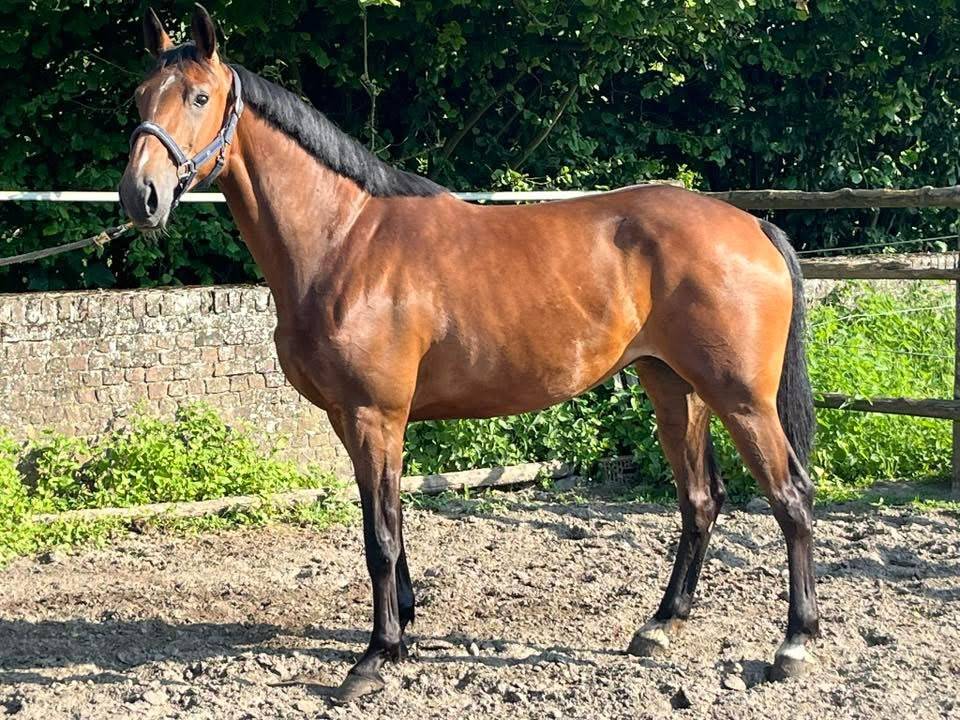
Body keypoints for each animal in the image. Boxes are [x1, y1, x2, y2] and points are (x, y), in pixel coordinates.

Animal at [118, 5, 820, 701]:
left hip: (741, 398)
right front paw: (401, 633)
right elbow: (391, 525)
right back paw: (660, 627)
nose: (139, 196)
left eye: (199, 96)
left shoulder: (375, 416)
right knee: (700, 499)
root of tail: (752, 225)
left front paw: (373, 659)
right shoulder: (352, 420)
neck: (343, 242)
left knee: (790, 496)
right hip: (675, 387)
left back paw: (795, 644)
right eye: (140, 97)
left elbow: (380, 536)